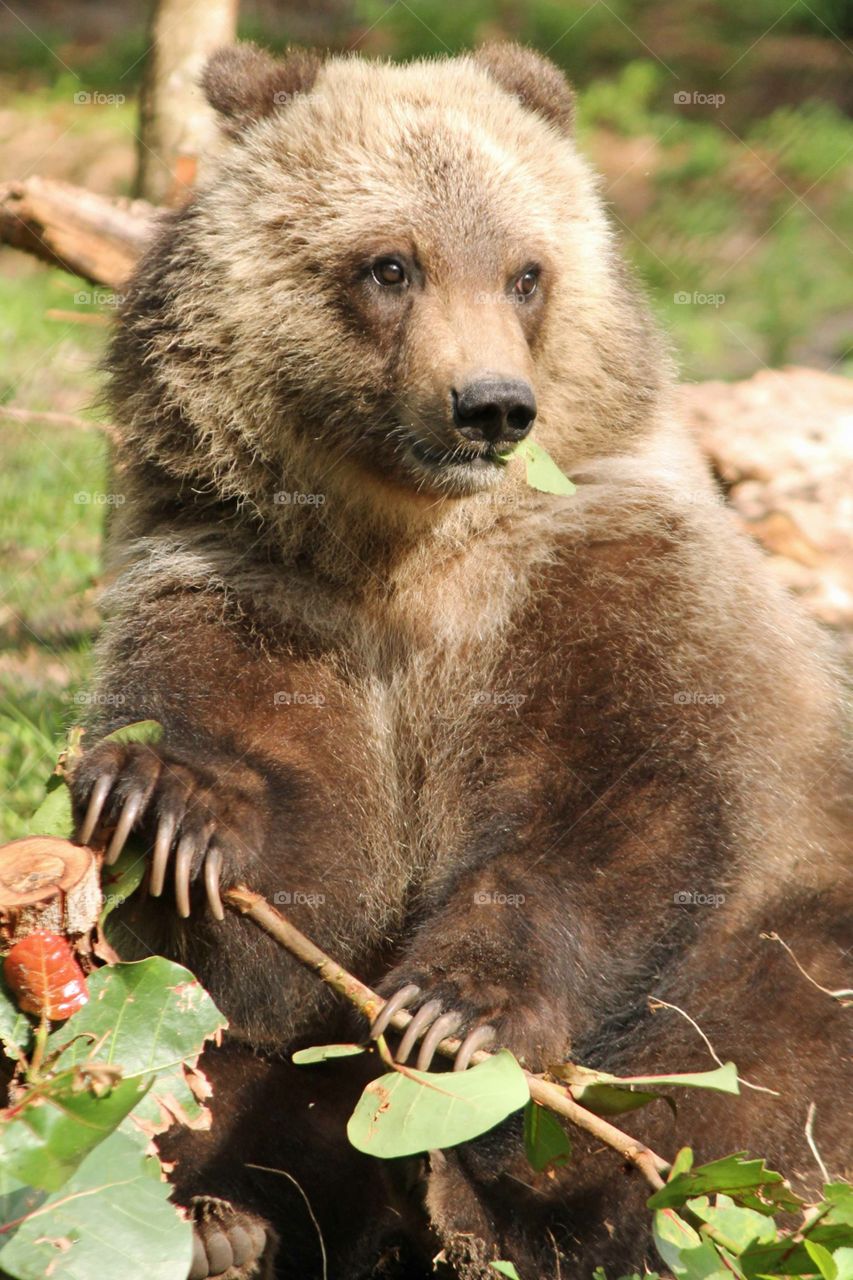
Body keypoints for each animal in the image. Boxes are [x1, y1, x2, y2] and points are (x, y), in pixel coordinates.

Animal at [68, 41, 851, 1280]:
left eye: (526, 272)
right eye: (391, 264)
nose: (491, 406)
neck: (404, 551)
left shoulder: (595, 586)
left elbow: (616, 806)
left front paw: (451, 1007)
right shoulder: (255, 592)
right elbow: (272, 911)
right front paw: (166, 804)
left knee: (766, 1057)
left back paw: (506, 1205)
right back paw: (222, 1219)